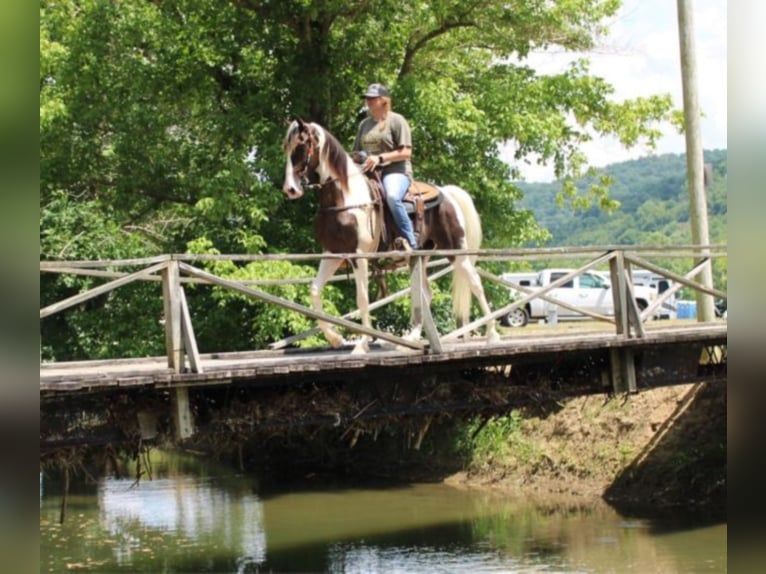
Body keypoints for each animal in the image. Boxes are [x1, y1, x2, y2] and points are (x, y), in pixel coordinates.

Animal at [280, 120, 498, 356]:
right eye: (287, 148)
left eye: (301, 146)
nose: (290, 189)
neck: (344, 198)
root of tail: (446, 193)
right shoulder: (332, 254)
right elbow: (314, 291)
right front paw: (335, 339)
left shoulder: (359, 256)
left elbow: (362, 299)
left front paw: (362, 344)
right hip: (420, 257)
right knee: (425, 293)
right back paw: (410, 338)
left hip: (457, 251)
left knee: (476, 283)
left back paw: (492, 335)